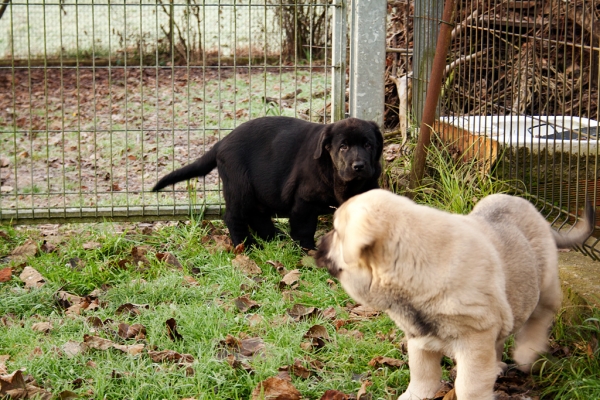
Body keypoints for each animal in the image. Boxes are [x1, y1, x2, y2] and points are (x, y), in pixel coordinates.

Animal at [152, 114, 382, 248]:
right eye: (343, 146)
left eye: (368, 145)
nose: (359, 166)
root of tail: (221, 143)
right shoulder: (304, 201)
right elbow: (304, 228)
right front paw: (307, 251)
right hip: (239, 187)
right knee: (234, 217)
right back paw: (246, 246)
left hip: (256, 191)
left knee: (257, 215)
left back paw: (273, 237)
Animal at [314, 190, 596, 400]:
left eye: (336, 232)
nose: (318, 245)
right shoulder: (420, 340)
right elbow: (422, 375)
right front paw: (415, 394)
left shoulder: (474, 340)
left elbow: (469, 386)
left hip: (544, 285)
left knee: (540, 317)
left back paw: (527, 352)